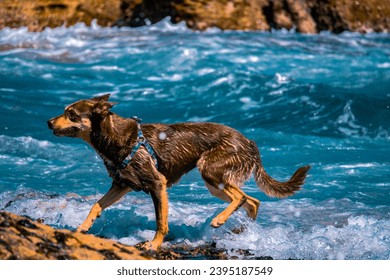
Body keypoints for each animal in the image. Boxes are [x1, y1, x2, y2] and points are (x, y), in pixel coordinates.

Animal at [47, 94, 310, 249]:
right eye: (65, 111)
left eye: (71, 114)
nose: (48, 122)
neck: (113, 138)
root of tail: (250, 142)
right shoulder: (122, 185)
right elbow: (96, 205)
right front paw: (83, 228)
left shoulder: (157, 184)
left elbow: (160, 222)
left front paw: (153, 246)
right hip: (215, 184)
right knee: (252, 201)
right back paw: (244, 231)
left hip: (210, 170)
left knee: (242, 197)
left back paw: (220, 220)